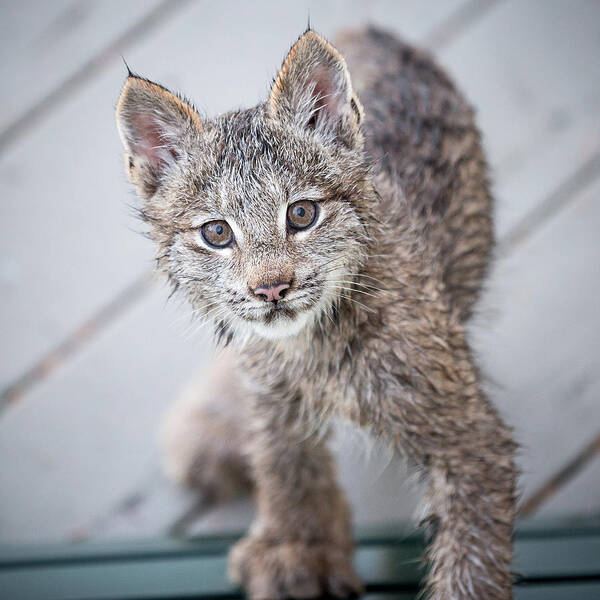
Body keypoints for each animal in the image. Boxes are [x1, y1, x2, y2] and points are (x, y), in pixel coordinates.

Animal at [116, 25, 516, 596]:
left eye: (302, 214)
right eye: (216, 233)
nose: (271, 290)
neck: (311, 345)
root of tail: (374, 29)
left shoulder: (469, 438)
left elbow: (471, 563)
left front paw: (300, 549)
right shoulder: (272, 391)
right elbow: (285, 463)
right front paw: (298, 548)